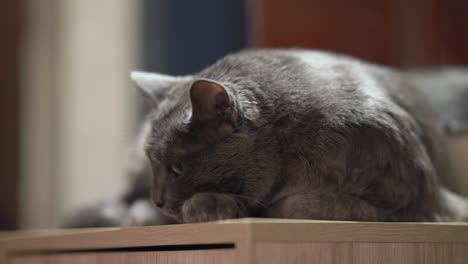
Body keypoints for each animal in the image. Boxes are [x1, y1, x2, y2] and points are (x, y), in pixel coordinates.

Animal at [64, 48, 468, 227]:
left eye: (178, 167)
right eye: (155, 164)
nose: (158, 199)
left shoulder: (418, 202)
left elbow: (298, 204)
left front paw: (214, 206)